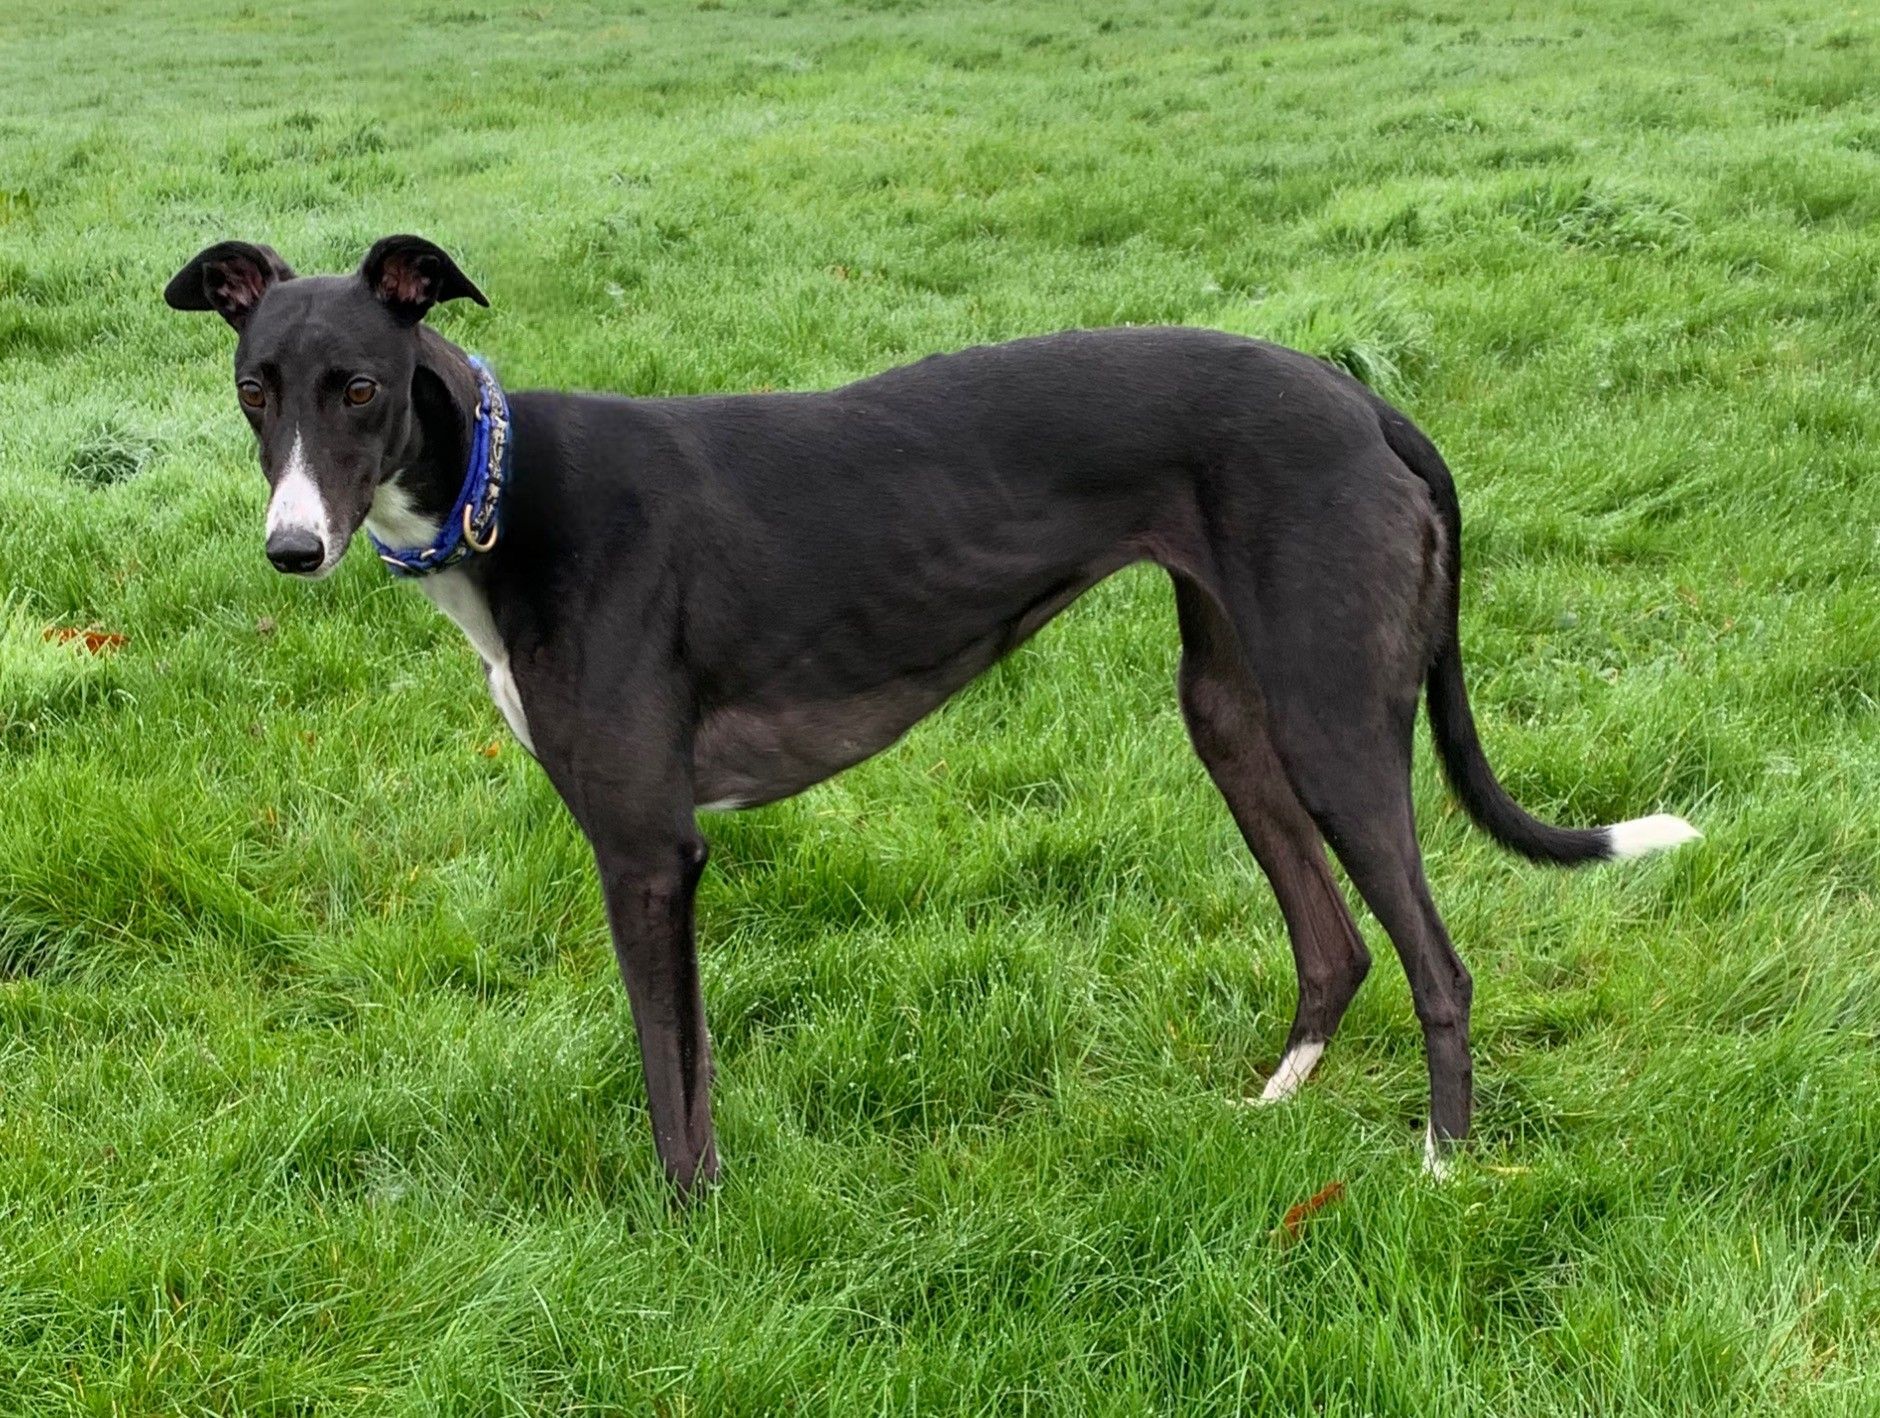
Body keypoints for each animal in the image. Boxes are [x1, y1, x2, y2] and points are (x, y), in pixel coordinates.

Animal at [165, 234, 1698, 1192]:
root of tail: (1362, 399)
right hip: (1231, 711)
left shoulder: (648, 850)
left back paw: (1441, 1167)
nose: (291, 549)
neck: (505, 488)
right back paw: (1272, 1111)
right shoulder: (659, 854)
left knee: (1437, 961)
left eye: (361, 386)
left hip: (1333, 719)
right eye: (254, 389)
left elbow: (668, 1079)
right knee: (1336, 944)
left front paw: (683, 1236)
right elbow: (694, 1062)